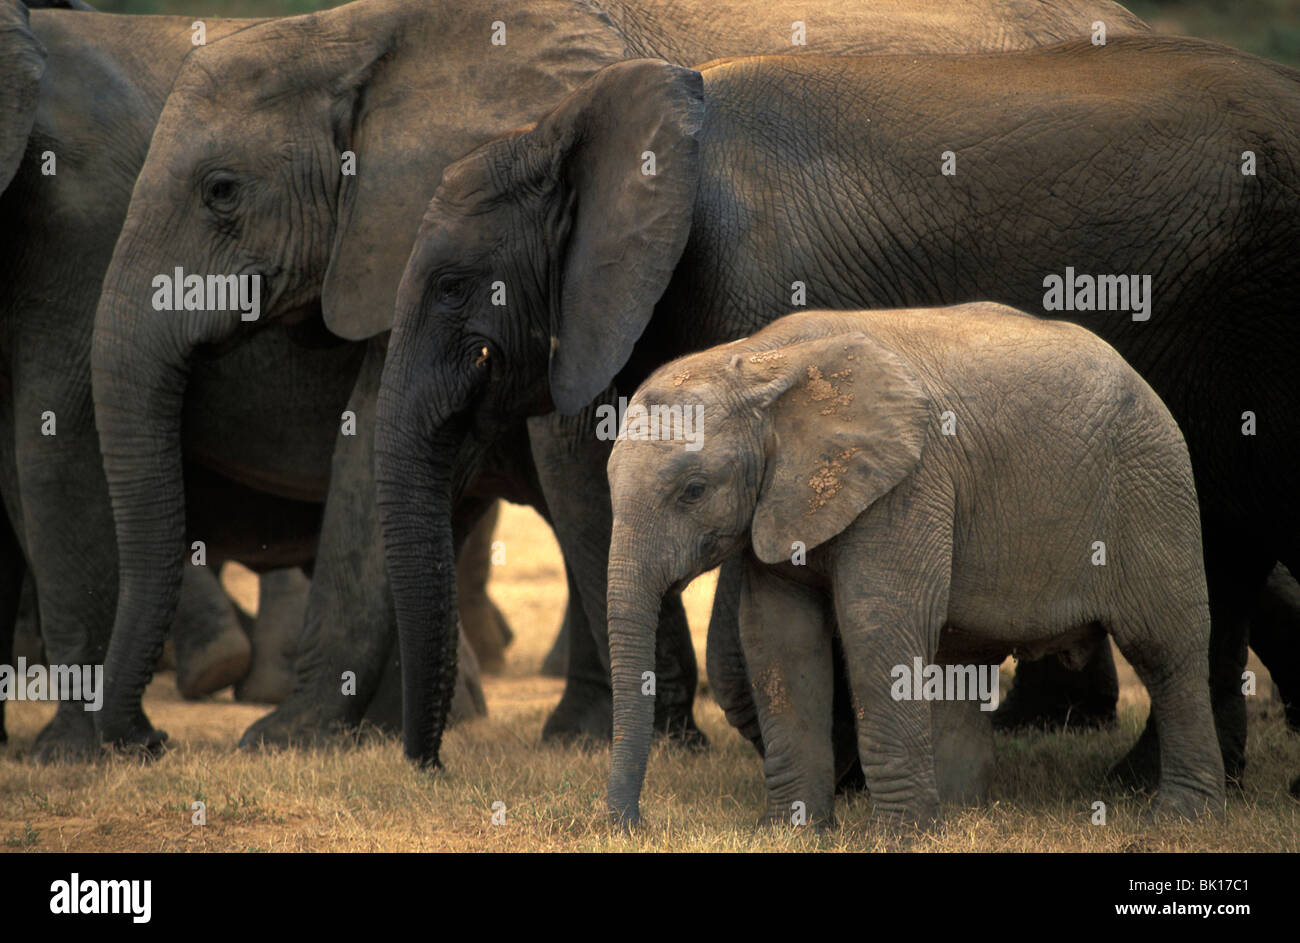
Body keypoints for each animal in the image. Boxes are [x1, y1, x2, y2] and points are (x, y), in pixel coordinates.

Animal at [89, 0, 1149, 759]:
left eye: (222, 193)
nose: (148, 743)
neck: (367, 31)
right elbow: (376, 432)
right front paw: (295, 738)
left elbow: (571, 453)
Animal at [603, 305, 1222, 827]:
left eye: (693, 490)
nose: (632, 825)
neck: (759, 362)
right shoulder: (780, 501)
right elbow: (778, 637)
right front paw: (791, 831)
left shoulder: (909, 481)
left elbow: (876, 623)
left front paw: (899, 836)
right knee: (955, 657)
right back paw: (963, 813)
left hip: (1151, 482)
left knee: (1168, 650)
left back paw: (1181, 818)